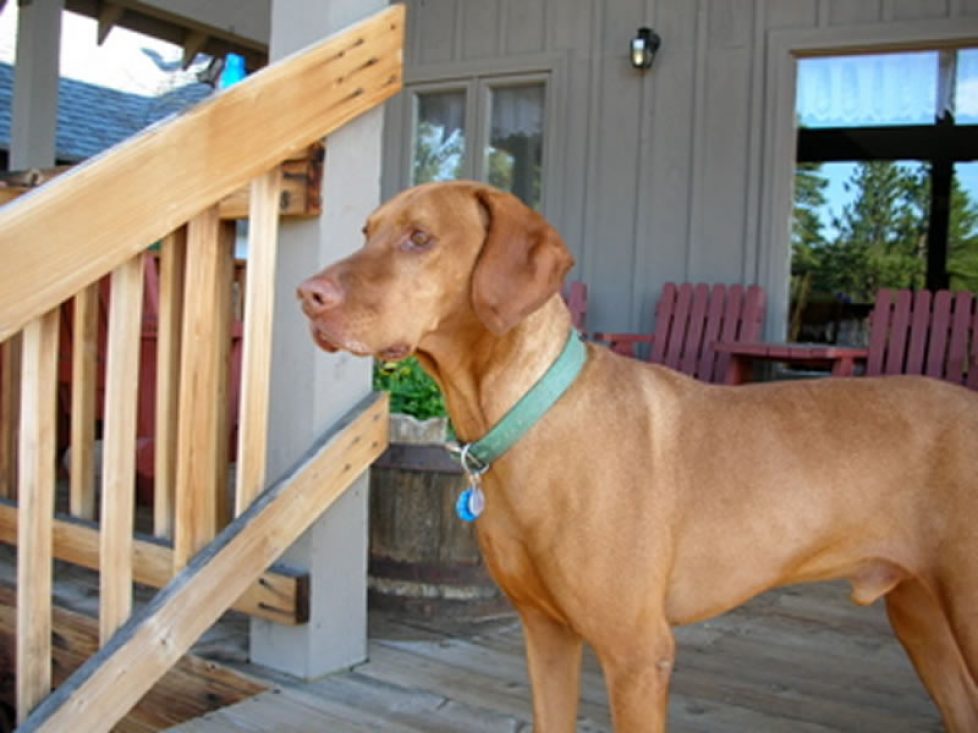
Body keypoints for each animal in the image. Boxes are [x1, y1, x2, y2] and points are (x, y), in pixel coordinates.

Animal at [298, 180, 976, 728]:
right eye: (366, 232)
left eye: (420, 238)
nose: (307, 294)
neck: (527, 412)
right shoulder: (545, 634)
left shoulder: (637, 655)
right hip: (922, 620)